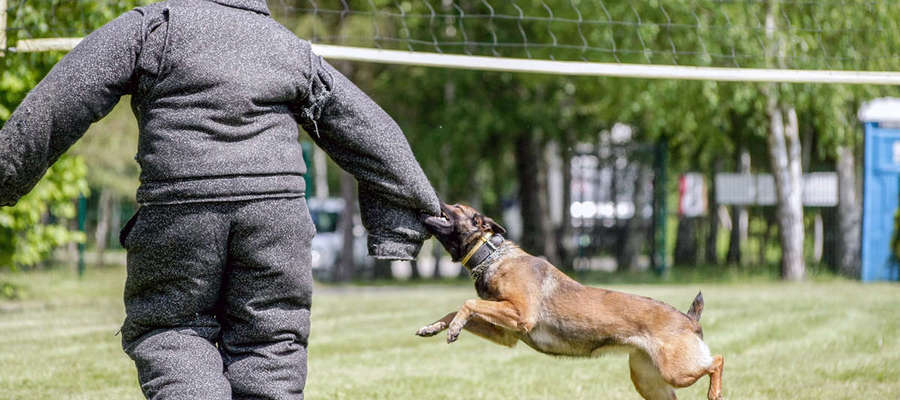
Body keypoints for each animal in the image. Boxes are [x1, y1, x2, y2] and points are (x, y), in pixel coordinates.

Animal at [416, 203, 724, 400]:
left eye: (456, 206)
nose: (435, 199)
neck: (491, 256)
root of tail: (688, 319)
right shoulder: (507, 334)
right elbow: (457, 310)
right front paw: (434, 327)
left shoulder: (520, 314)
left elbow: (468, 303)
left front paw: (454, 328)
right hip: (648, 380)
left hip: (676, 370)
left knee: (717, 361)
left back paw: (715, 392)